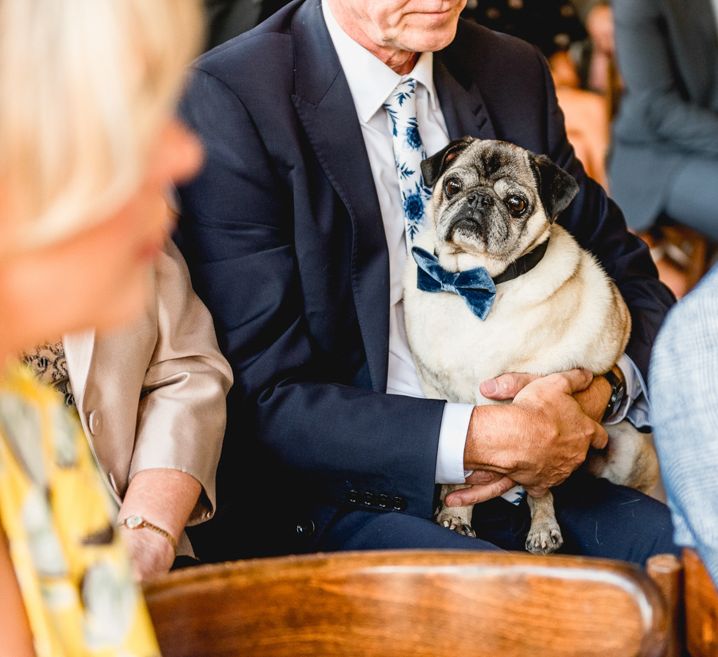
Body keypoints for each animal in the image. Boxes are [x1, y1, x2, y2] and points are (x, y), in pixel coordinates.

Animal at [402, 137, 660, 552]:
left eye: (516, 203)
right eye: (453, 185)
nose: (479, 199)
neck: (469, 283)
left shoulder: (512, 402)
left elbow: (523, 478)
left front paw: (530, 522)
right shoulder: (439, 394)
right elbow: (459, 468)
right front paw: (454, 514)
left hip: (628, 452)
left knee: (546, 485)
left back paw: (543, 527)